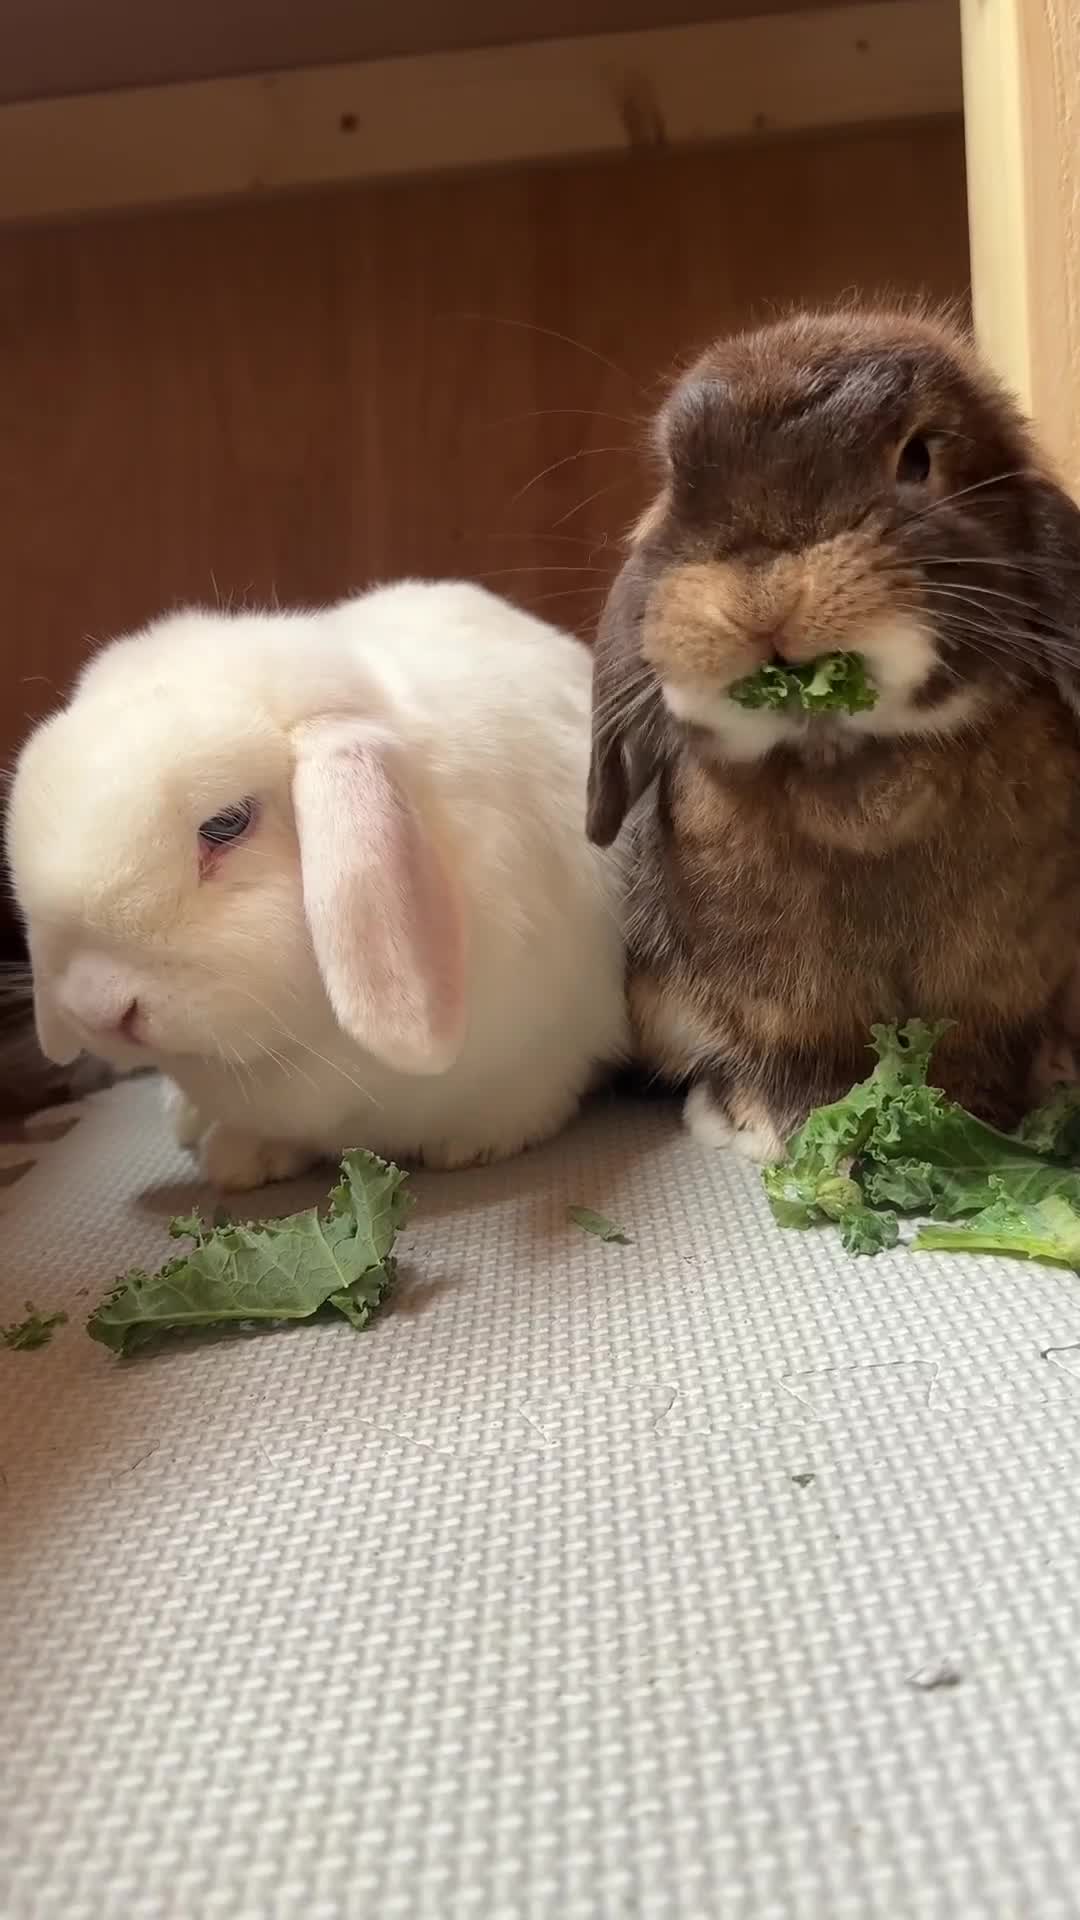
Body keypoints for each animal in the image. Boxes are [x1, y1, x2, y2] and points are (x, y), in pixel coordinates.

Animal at [585, 304, 1080, 1161]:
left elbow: (980, 1042)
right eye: (678, 482)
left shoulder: (1005, 976)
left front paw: (980, 1117)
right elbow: (805, 1059)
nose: (765, 584)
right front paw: (804, 1133)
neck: (847, 756)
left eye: (918, 458)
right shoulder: (784, 997)